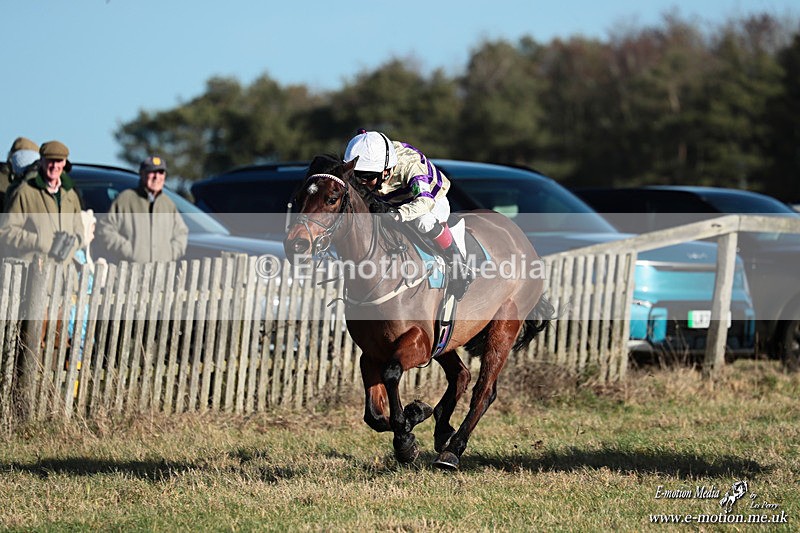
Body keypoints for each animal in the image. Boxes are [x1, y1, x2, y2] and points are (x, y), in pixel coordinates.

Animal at [284, 154, 552, 469]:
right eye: (298, 197)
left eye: (332, 198)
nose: (297, 244)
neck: (381, 270)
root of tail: (521, 238)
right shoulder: (371, 352)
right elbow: (374, 415)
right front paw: (414, 418)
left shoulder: (419, 342)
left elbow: (391, 374)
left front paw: (406, 436)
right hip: (448, 336)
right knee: (461, 375)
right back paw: (442, 429)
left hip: (504, 325)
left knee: (484, 391)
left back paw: (453, 450)